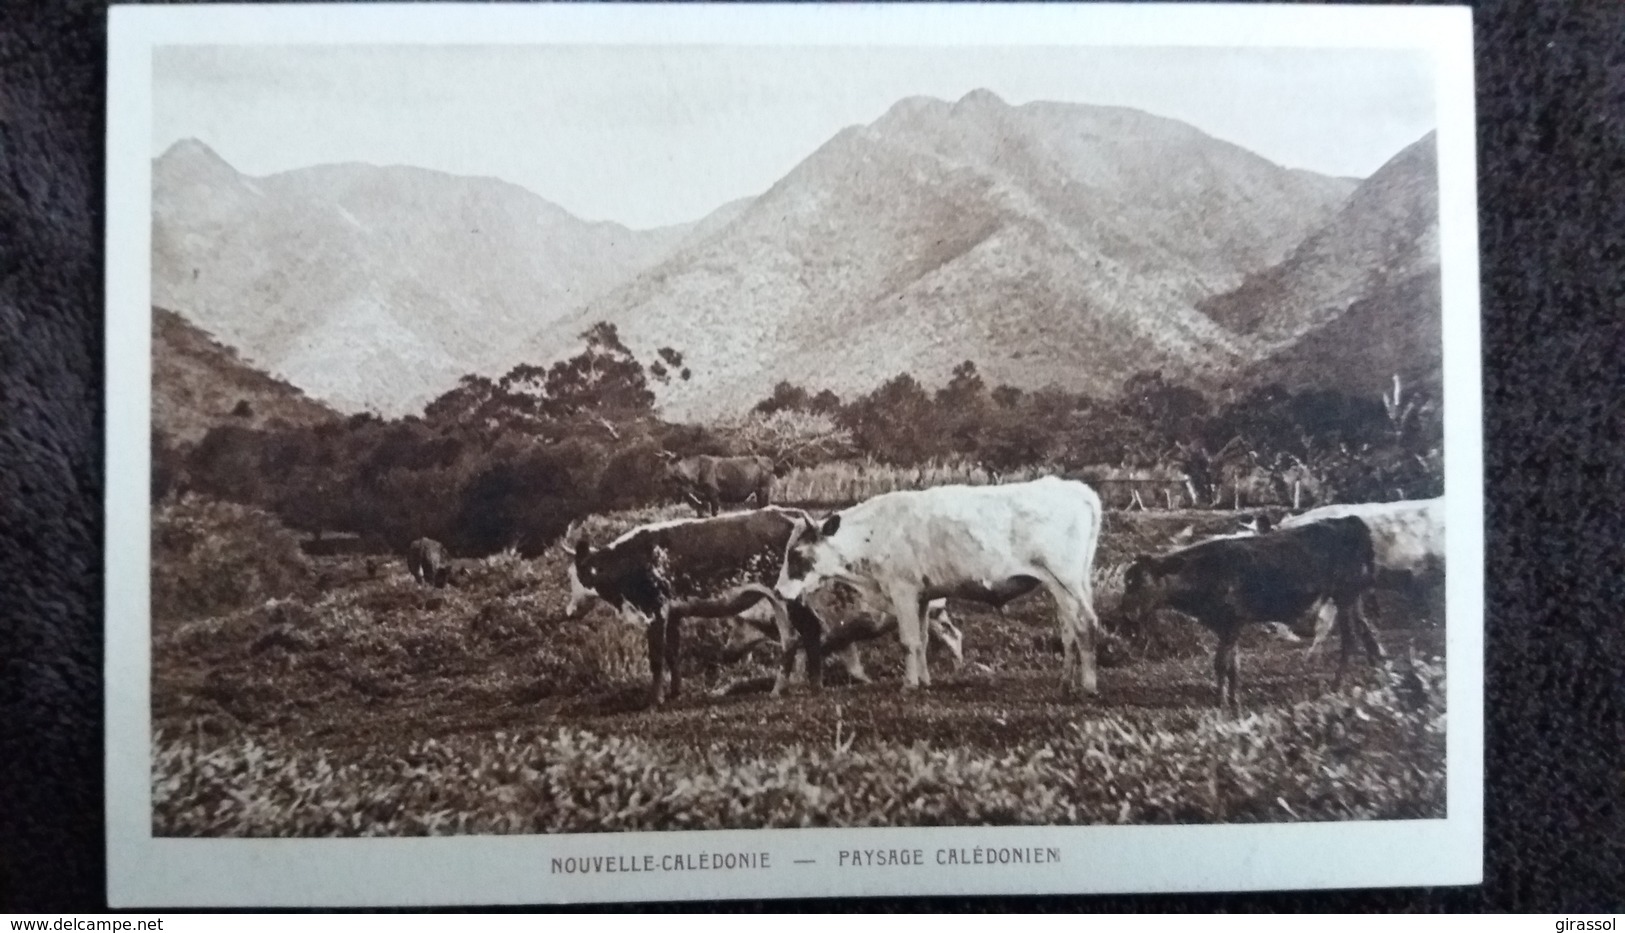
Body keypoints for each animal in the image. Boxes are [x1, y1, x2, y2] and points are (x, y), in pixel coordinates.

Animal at [568, 507, 825, 705]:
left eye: (573, 575)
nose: (569, 611)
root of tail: (790, 513)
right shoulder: (673, 614)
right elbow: (672, 653)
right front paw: (674, 693)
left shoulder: (655, 611)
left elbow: (656, 658)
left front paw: (654, 700)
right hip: (778, 599)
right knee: (790, 640)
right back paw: (779, 689)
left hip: (789, 596)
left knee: (811, 629)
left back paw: (813, 686)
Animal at [773, 477, 1105, 698]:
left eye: (796, 554)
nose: (777, 591)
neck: (874, 533)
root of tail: (1076, 488)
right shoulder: (922, 596)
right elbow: (921, 640)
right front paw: (924, 681)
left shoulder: (903, 590)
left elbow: (908, 641)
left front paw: (909, 685)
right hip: (1068, 583)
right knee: (1069, 631)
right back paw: (1065, 683)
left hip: (1065, 579)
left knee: (1085, 623)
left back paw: (1088, 686)